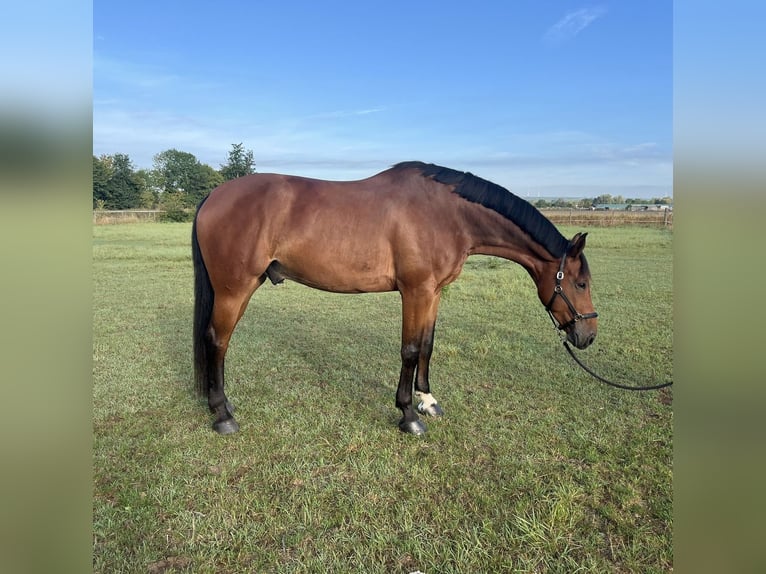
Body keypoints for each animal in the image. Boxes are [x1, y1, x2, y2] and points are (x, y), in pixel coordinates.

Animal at [192, 161, 598, 436]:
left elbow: (428, 345)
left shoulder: (433, 293)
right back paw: (223, 416)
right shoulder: (415, 291)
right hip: (234, 288)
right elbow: (410, 350)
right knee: (217, 340)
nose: (588, 336)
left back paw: (222, 403)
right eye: (580, 283)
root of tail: (214, 195)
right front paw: (409, 416)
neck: (447, 214)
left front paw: (428, 401)